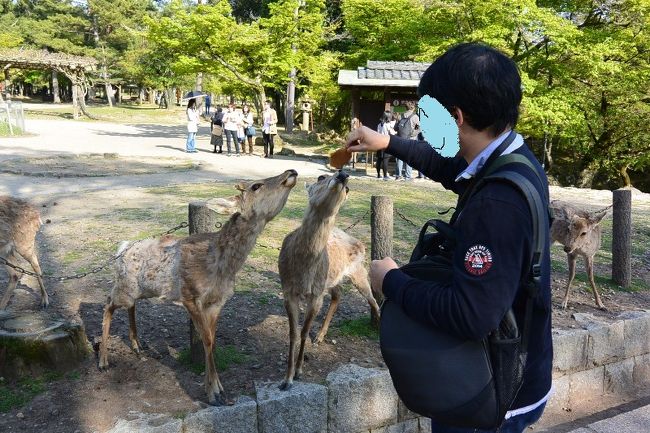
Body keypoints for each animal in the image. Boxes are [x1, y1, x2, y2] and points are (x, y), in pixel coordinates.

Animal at [98, 169, 298, 406]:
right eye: (256, 186)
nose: (291, 172)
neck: (221, 267)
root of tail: (122, 248)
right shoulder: (190, 296)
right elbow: (207, 339)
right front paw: (213, 393)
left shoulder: (217, 301)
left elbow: (211, 339)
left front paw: (218, 389)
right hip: (124, 287)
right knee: (108, 303)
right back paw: (103, 361)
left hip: (139, 289)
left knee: (128, 306)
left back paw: (137, 346)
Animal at [278, 171, 381, 390]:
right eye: (320, 177)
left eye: (349, 189)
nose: (343, 175)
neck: (303, 271)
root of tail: (359, 242)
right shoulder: (288, 290)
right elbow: (293, 333)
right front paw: (286, 380)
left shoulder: (316, 294)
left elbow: (304, 331)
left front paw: (299, 372)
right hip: (333, 280)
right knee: (338, 295)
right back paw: (320, 336)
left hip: (358, 271)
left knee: (372, 298)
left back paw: (376, 323)